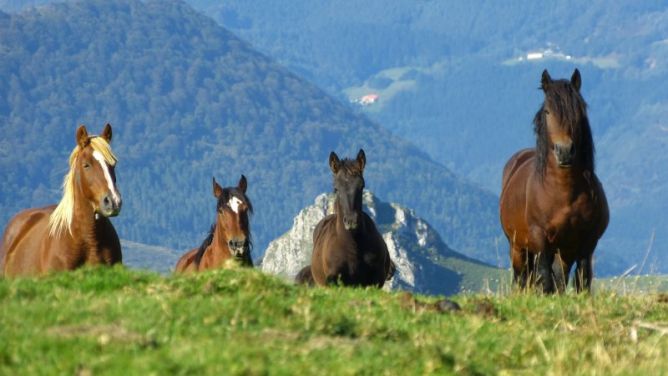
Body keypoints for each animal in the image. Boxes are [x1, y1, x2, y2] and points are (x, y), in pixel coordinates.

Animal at [500, 70, 612, 294]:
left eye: (579, 109)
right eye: (548, 112)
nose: (565, 151)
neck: (563, 192)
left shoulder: (587, 242)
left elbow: (582, 280)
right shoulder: (540, 240)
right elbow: (545, 280)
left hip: (565, 252)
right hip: (518, 248)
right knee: (522, 279)